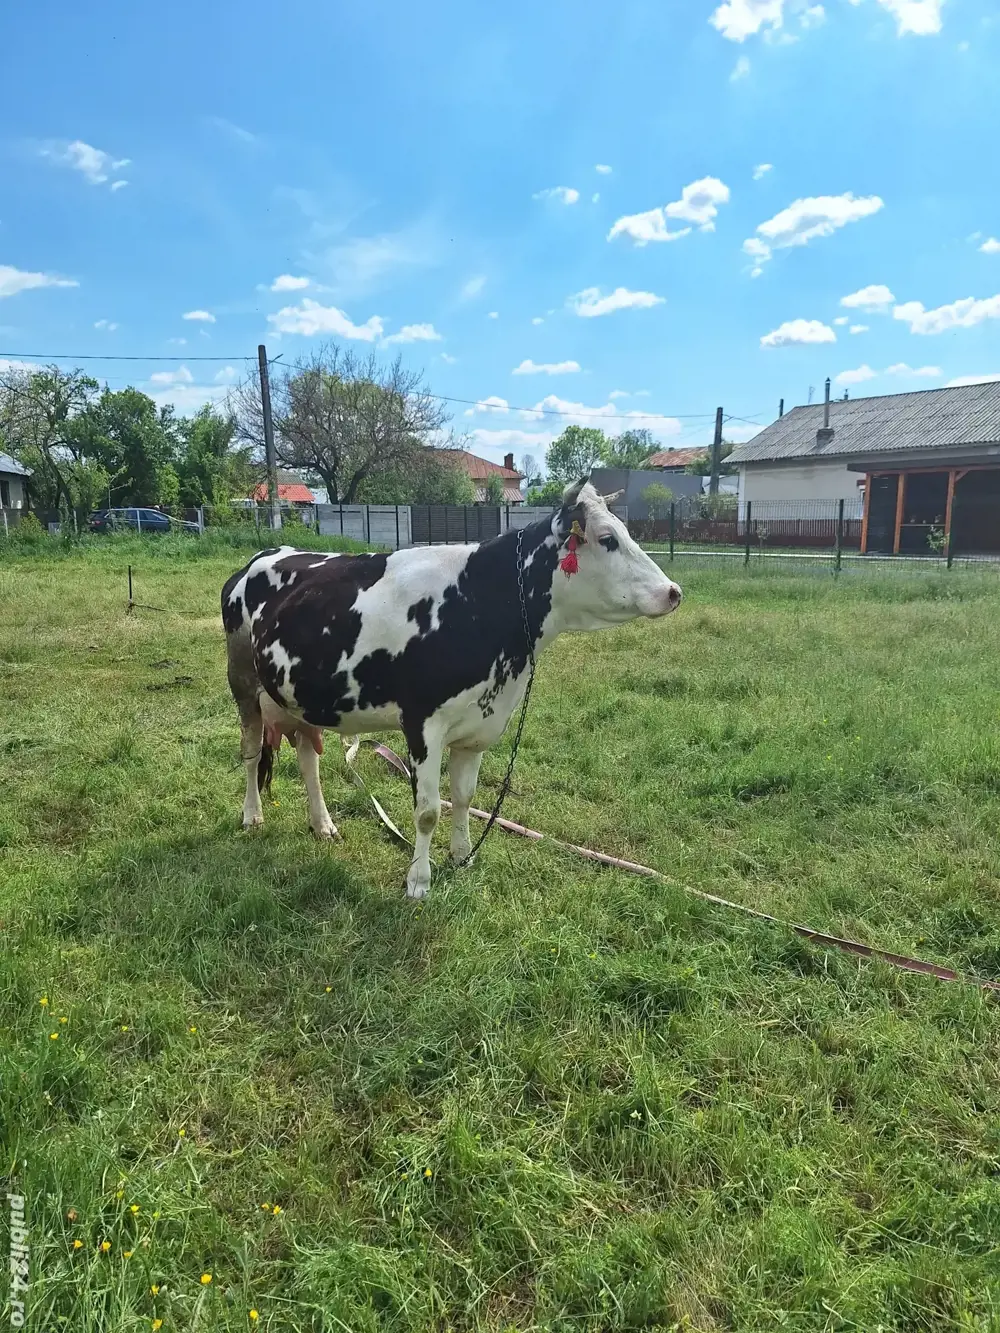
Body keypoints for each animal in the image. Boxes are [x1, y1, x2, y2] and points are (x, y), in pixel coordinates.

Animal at [221, 478, 681, 899]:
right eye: (607, 539)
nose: (673, 592)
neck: (480, 604)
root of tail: (263, 556)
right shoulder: (423, 724)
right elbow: (427, 812)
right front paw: (418, 882)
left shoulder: (477, 725)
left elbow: (463, 798)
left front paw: (462, 856)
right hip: (242, 681)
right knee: (250, 753)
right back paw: (252, 816)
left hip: (296, 696)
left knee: (307, 760)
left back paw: (322, 824)